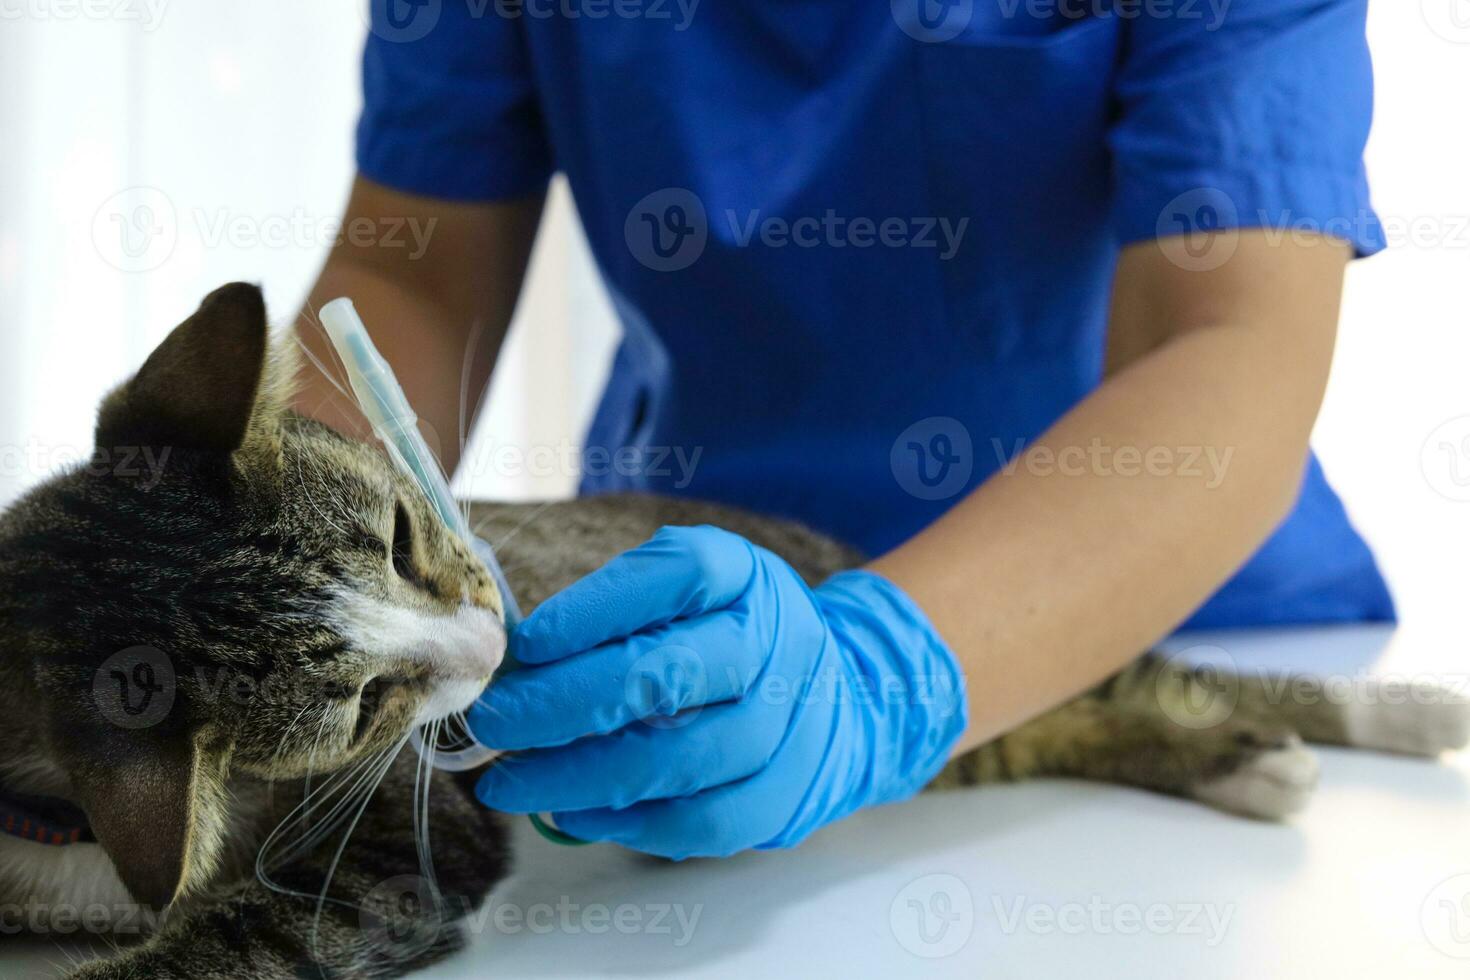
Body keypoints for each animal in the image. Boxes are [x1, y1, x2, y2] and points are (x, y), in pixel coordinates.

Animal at [0, 282, 1464, 975]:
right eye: (357, 703)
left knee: (1142, 675)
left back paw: (1394, 712)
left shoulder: (402, 850)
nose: (493, 648)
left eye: (411, 535)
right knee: (1076, 723)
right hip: (976, 740)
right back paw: (1250, 766)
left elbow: (243, 936)